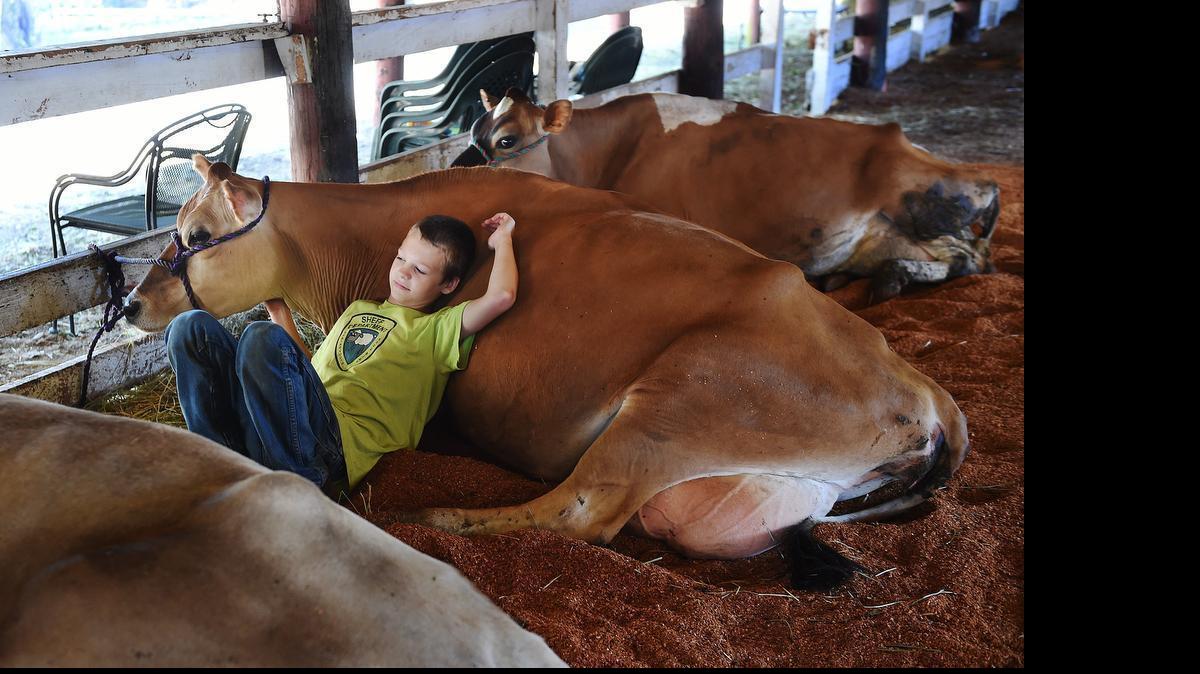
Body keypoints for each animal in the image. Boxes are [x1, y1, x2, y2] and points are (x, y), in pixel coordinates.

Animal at [121, 157, 969, 585]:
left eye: (192, 235)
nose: (128, 301)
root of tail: (931, 396)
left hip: (679, 399)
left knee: (581, 510)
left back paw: (435, 517)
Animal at [453, 89, 1000, 301]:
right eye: (473, 129)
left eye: (506, 140)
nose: (457, 172)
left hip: (922, 208)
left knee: (971, 259)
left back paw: (890, 280)